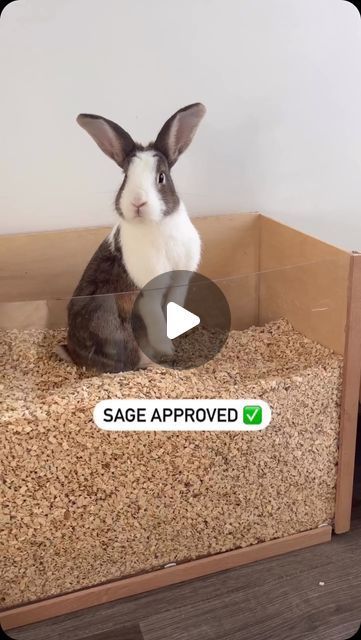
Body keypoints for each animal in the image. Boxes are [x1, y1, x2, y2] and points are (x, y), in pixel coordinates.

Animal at [57, 103, 207, 376]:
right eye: (125, 177)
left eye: (161, 177)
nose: (138, 202)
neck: (156, 225)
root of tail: (74, 355)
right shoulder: (148, 292)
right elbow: (156, 318)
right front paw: (167, 348)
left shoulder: (180, 279)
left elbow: (173, 305)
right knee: (128, 362)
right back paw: (154, 362)